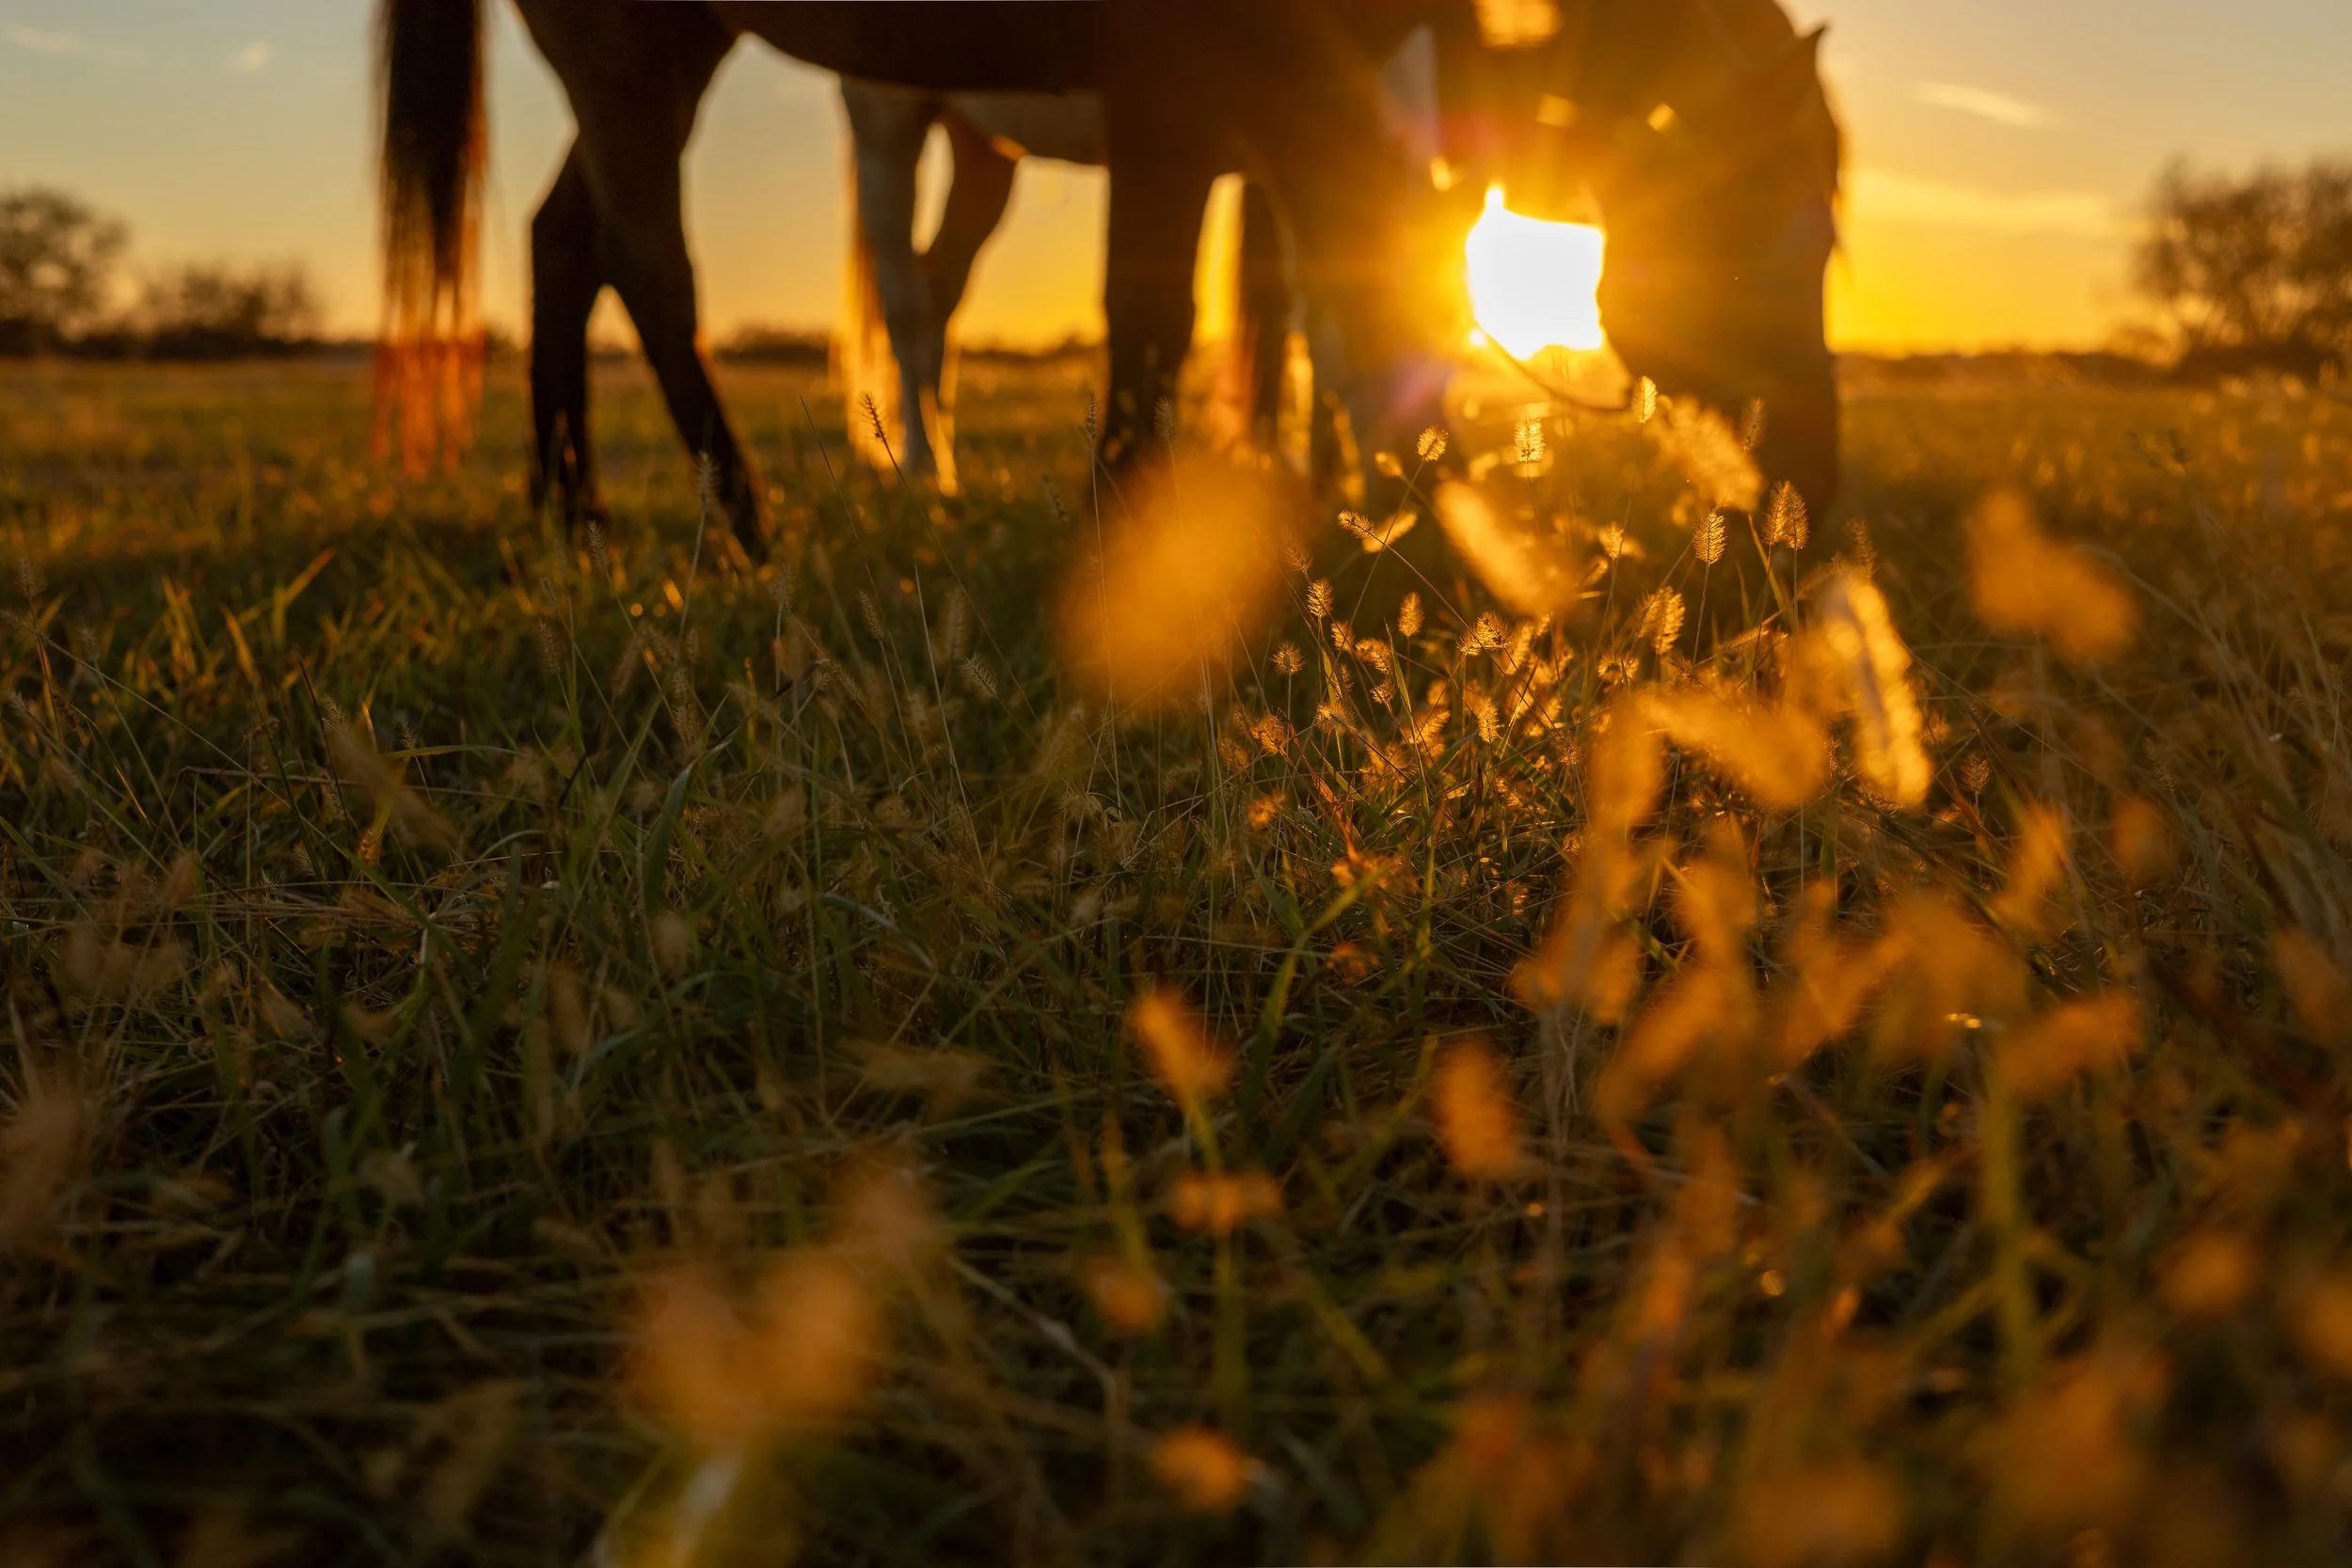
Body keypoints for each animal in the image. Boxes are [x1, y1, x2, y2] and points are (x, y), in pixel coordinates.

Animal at [375, 1, 1839, 559]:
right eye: (1790, 226)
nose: (1814, 499)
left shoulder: (1310, 113)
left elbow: (1353, 319)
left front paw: (1423, 524)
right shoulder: (1191, 90)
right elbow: (1177, 310)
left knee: (566, 241)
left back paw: (574, 509)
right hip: (815, 93)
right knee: (697, 269)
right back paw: (759, 521)